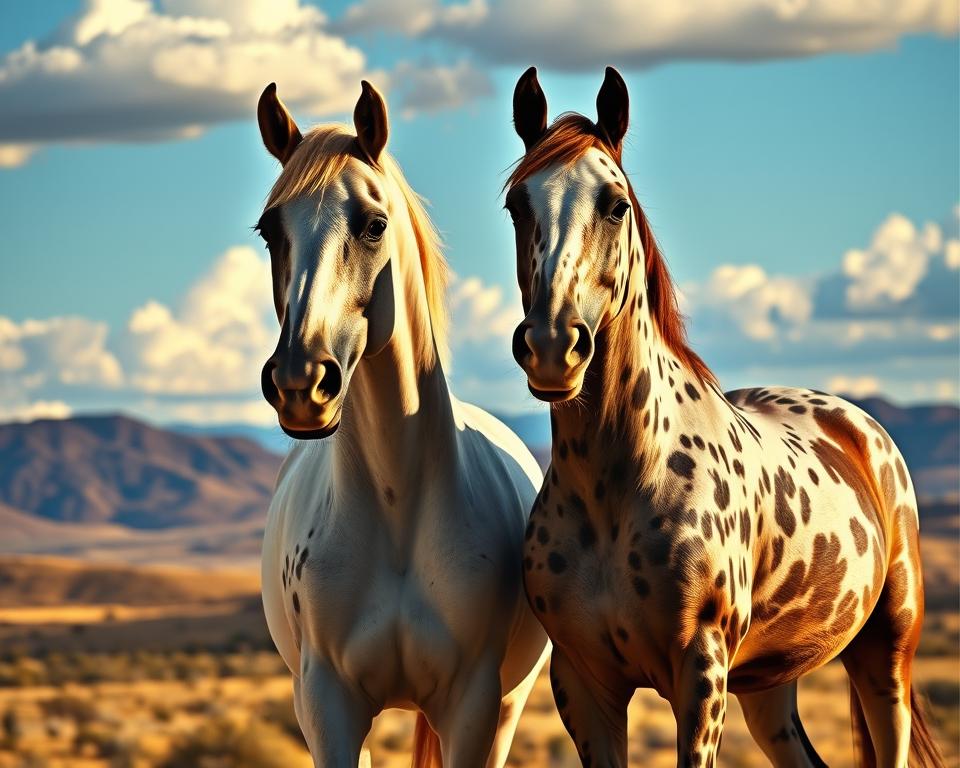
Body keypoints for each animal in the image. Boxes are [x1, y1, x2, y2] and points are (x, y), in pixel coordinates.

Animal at [255, 80, 549, 767]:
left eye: (373, 225)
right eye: (269, 231)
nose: (299, 383)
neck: (396, 507)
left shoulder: (472, 707)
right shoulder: (328, 708)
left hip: (508, 708)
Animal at [504, 66, 943, 768]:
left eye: (615, 203)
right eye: (518, 205)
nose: (552, 345)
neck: (618, 487)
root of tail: (862, 429)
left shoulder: (701, 671)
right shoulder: (583, 682)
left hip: (887, 657)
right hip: (768, 687)